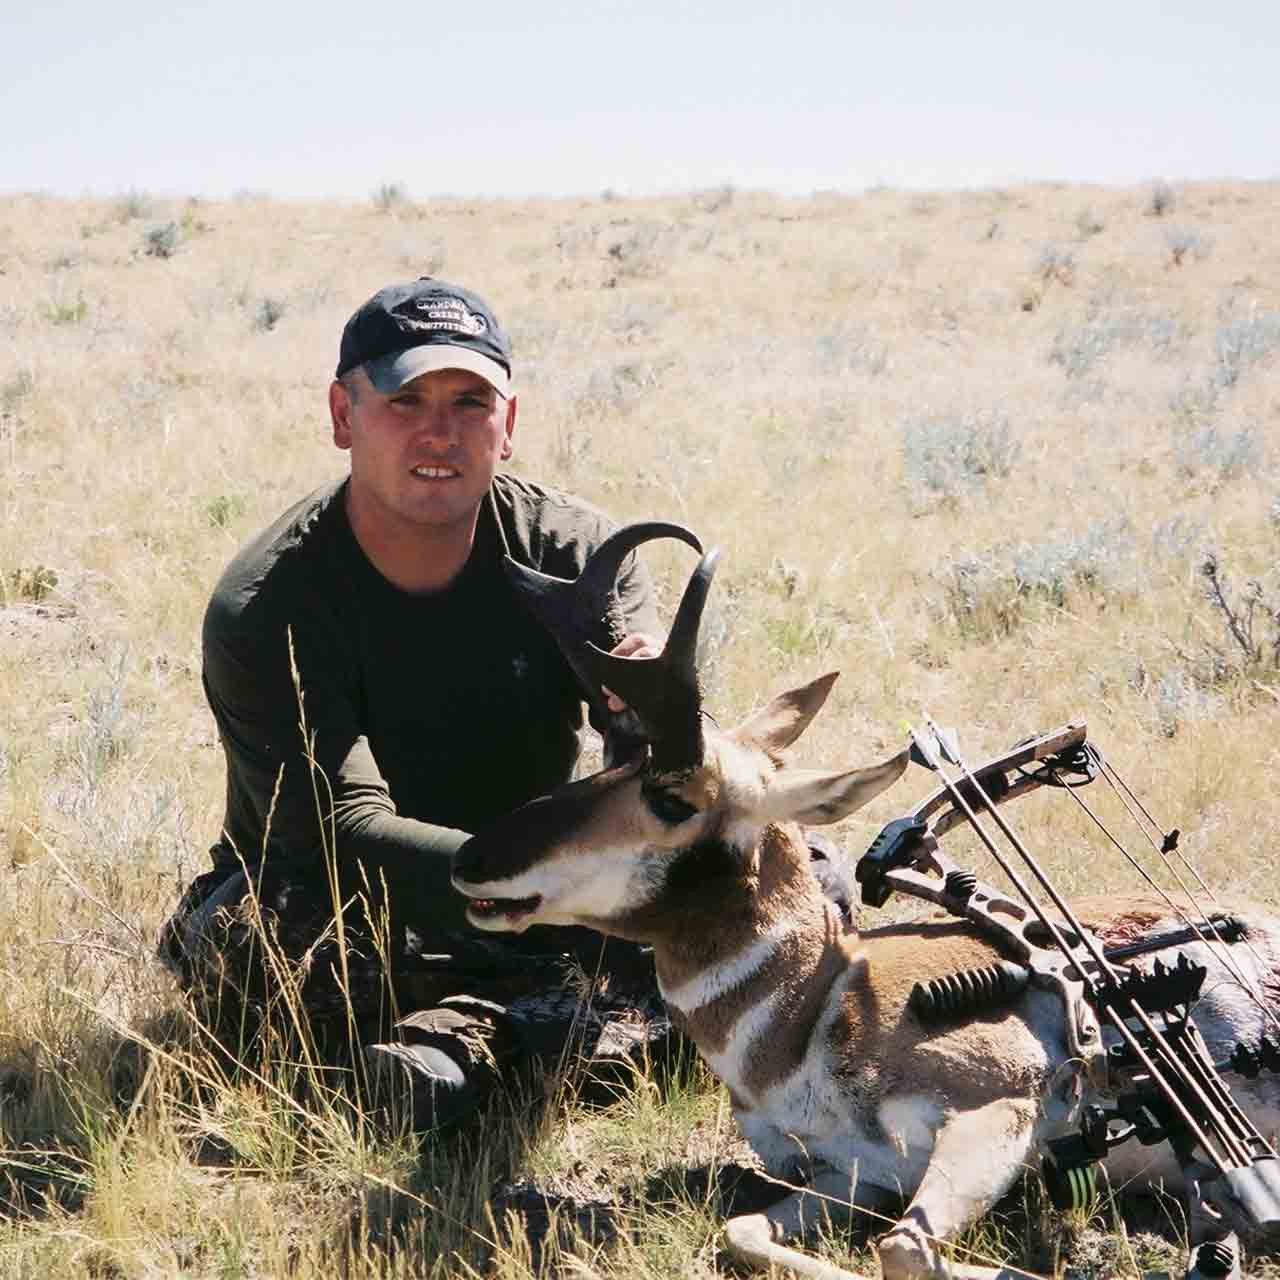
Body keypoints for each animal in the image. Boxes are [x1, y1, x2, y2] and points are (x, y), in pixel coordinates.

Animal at [454, 525, 1280, 1280]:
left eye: (669, 796)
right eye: (610, 761)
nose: (470, 860)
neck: (817, 1005)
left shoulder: (997, 1113)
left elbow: (904, 1250)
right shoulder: (856, 1174)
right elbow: (744, 1232)